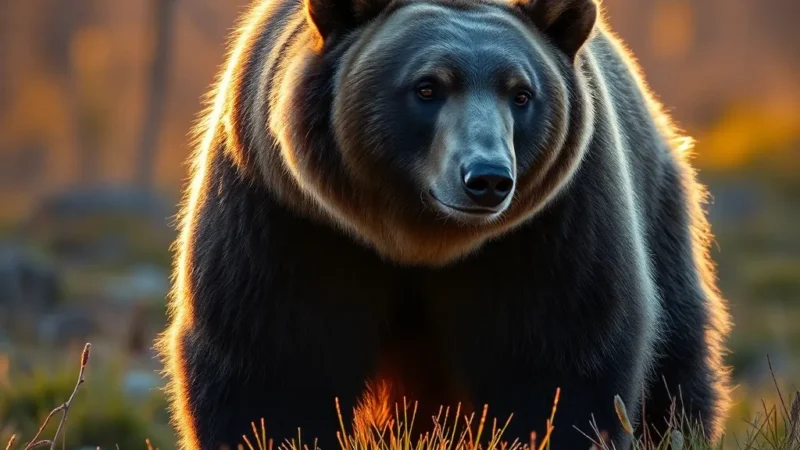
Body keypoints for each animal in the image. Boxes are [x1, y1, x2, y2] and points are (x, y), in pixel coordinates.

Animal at [156, 0, 732, 448]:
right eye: (428, 87)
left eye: (520, 93)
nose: (487, 178)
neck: (419, 239)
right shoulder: (287, 214)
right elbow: (272, 362)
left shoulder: (552, 228)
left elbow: (560, 359)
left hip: (659, 207)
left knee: (677, 361)